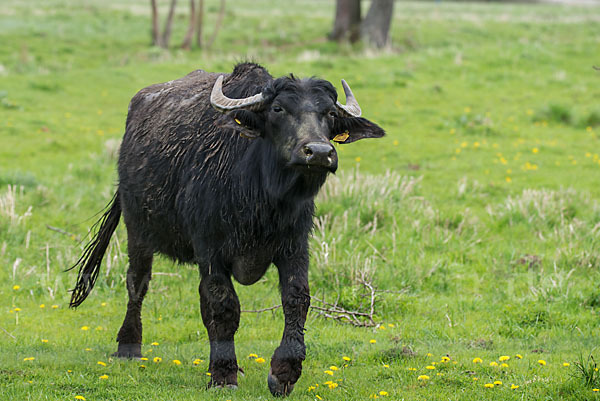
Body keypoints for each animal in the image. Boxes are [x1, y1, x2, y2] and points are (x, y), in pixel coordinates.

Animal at [70, 63, 384, 396]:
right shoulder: (211, 251)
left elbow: (296, 300)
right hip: (137, 229)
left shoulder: (295, 246)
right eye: (278, 108)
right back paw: (128, 346)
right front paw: (223, 375)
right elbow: (224, 307)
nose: (320, 152)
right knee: (137, 283)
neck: (260, 199)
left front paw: (284, 373)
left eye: (330, 113)